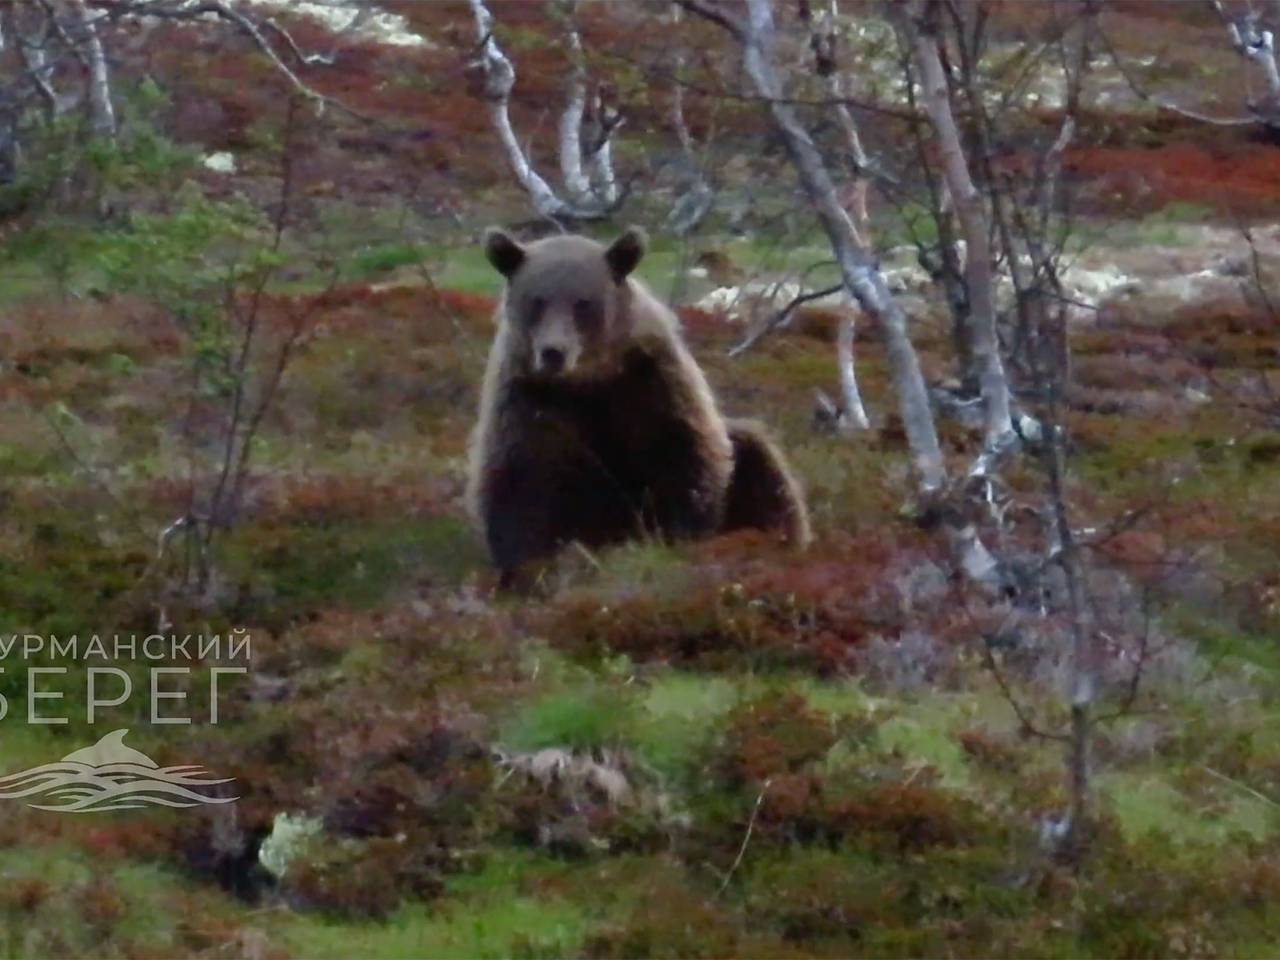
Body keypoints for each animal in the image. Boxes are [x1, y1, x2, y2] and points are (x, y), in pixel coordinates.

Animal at [468, 229, 808, 583]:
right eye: (536, 300)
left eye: (582, 303)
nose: (553, 352)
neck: (588, 381)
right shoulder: (530, 399)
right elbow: (519, 481)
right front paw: (527, 567)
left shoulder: (651, 382)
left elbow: (685, 455)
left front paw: (679, 536)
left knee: (763, 466)